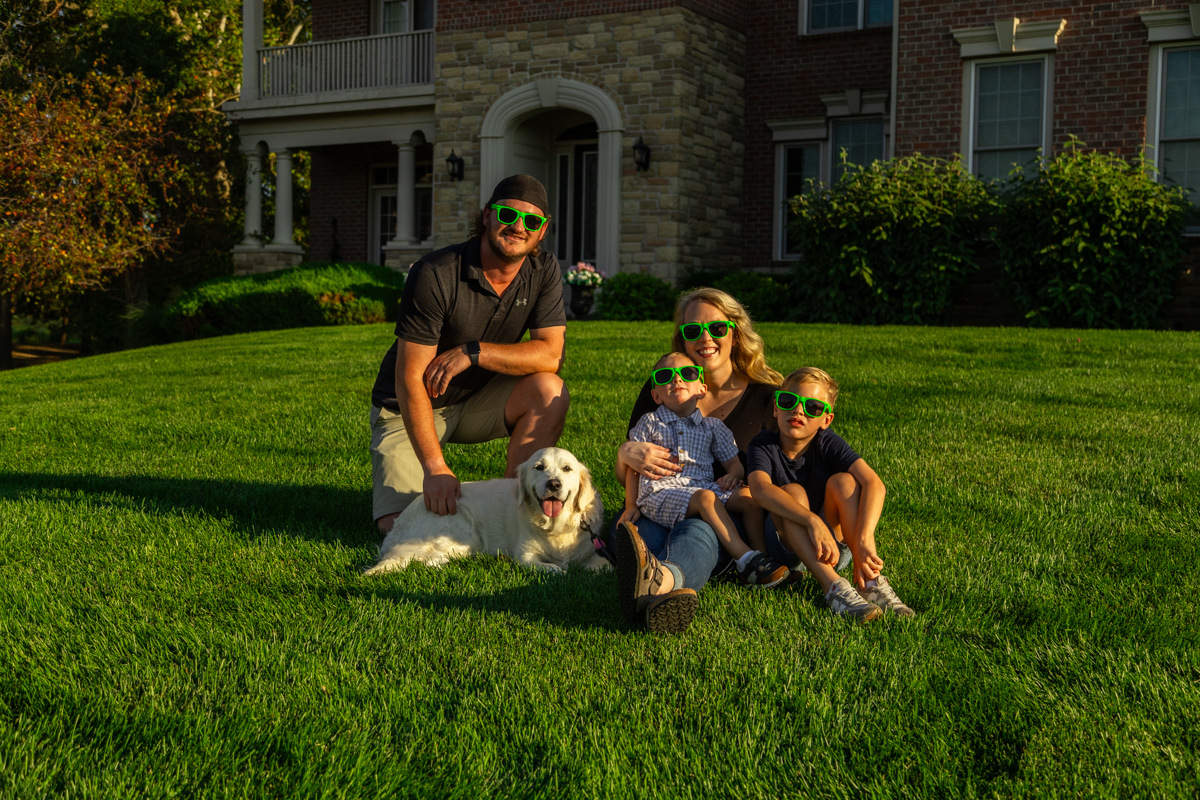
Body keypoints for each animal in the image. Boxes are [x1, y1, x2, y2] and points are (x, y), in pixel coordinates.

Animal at [362, 443, 609, 575]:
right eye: (539, 467)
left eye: (567, 469)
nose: (553, 484)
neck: (556, 528)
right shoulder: (525, 555)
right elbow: (551, 567)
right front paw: (559, 569)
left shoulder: (590, 550)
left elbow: (606, 564)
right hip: (465, 535)